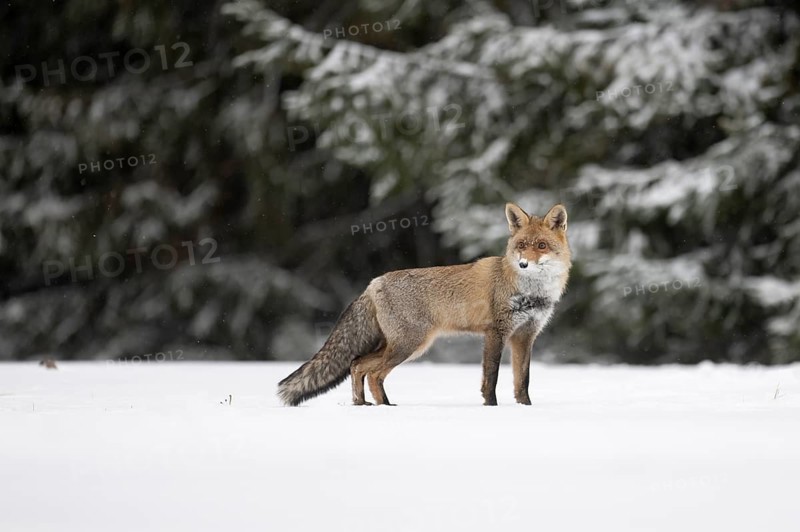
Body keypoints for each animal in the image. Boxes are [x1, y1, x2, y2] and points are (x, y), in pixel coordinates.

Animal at [278, 202, 571, 406]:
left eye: (541, 245)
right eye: (521, 245)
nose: (523, 264)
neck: (531, 292)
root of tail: (374, 283)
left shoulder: (525, 336)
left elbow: (522, 381)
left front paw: (525, 409)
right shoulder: (496, 333)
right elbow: (491, 378)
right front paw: (492, 408)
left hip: (401, 346)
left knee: (358, 364)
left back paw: (363, 404)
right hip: (410, 345)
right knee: (372, 372)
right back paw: (384, 406)